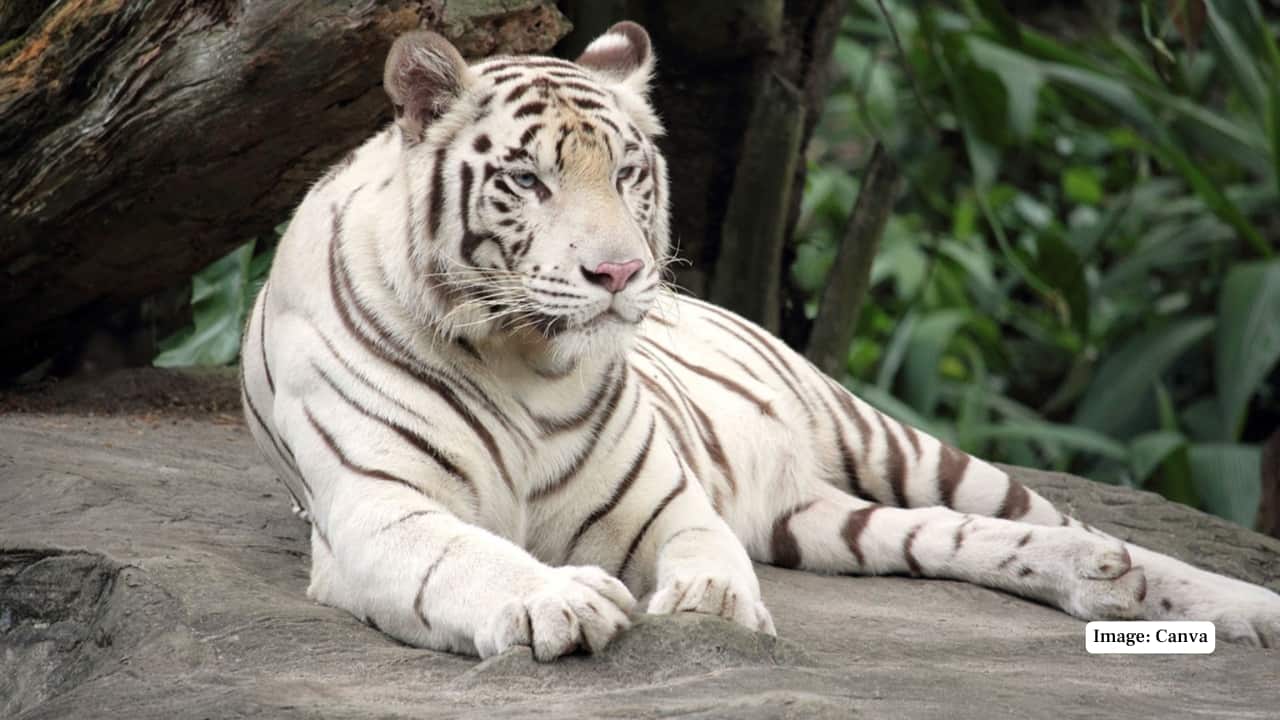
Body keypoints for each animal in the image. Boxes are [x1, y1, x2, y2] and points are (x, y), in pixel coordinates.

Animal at [239, 21, 1280, 659]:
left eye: (628, 172)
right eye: (529, 181)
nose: (619, 274)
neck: (524, 359)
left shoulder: (662, 502)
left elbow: (702, 550)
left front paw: (712, 607)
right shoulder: (380, 512)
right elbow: (470, 558)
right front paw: (558, 600)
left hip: (894, 444)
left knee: (1077, 525)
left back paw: (1228, 604)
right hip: (821, 520)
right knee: (967, 540)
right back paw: (1107, 588)